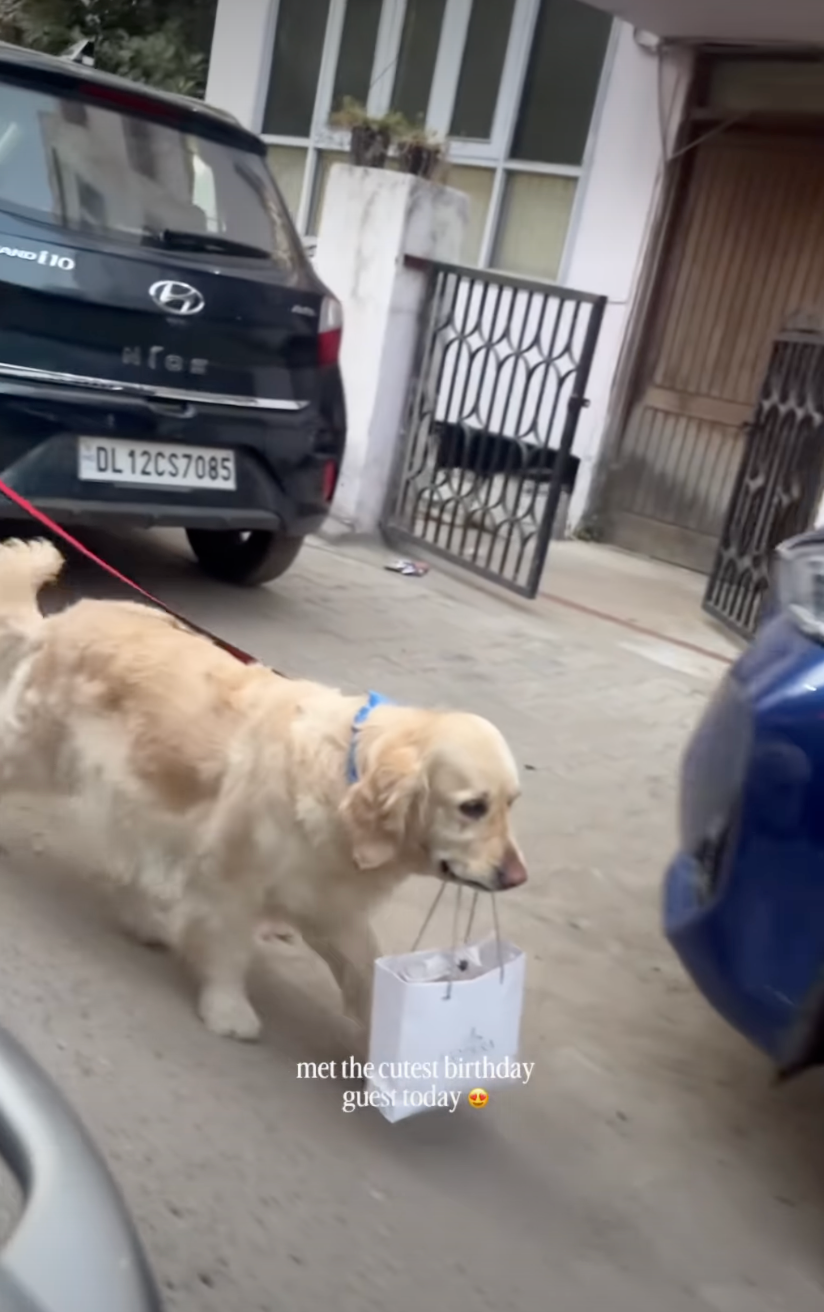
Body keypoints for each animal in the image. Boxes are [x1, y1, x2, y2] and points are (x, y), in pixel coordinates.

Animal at [0, 538, 527, 1041]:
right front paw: (228, 1010)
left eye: (510, 803)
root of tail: (62, 619)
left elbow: (364, 969)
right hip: (38, 750)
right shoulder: (230, 878)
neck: (344, 777)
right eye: (472, 807)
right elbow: (230, 949)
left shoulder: (326, 899)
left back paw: (143, 919)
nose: (517, 877)